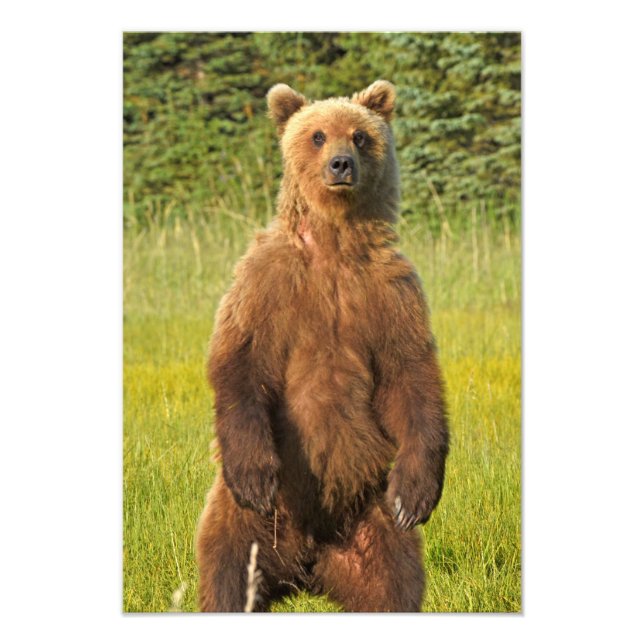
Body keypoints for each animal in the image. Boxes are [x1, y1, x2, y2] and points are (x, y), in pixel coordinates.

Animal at [196, 80, 449, 612]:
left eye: (360, 135)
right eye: (316, 135)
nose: (340, 164)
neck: (334, 245)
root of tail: (305, 567)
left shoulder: (391, 294)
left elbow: (411, 376)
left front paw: (416, 496)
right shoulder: (268, 283)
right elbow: (241, 360)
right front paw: (256, 476)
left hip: (371, 517)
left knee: (394, 581)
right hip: (247, 521)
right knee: (228, 569)